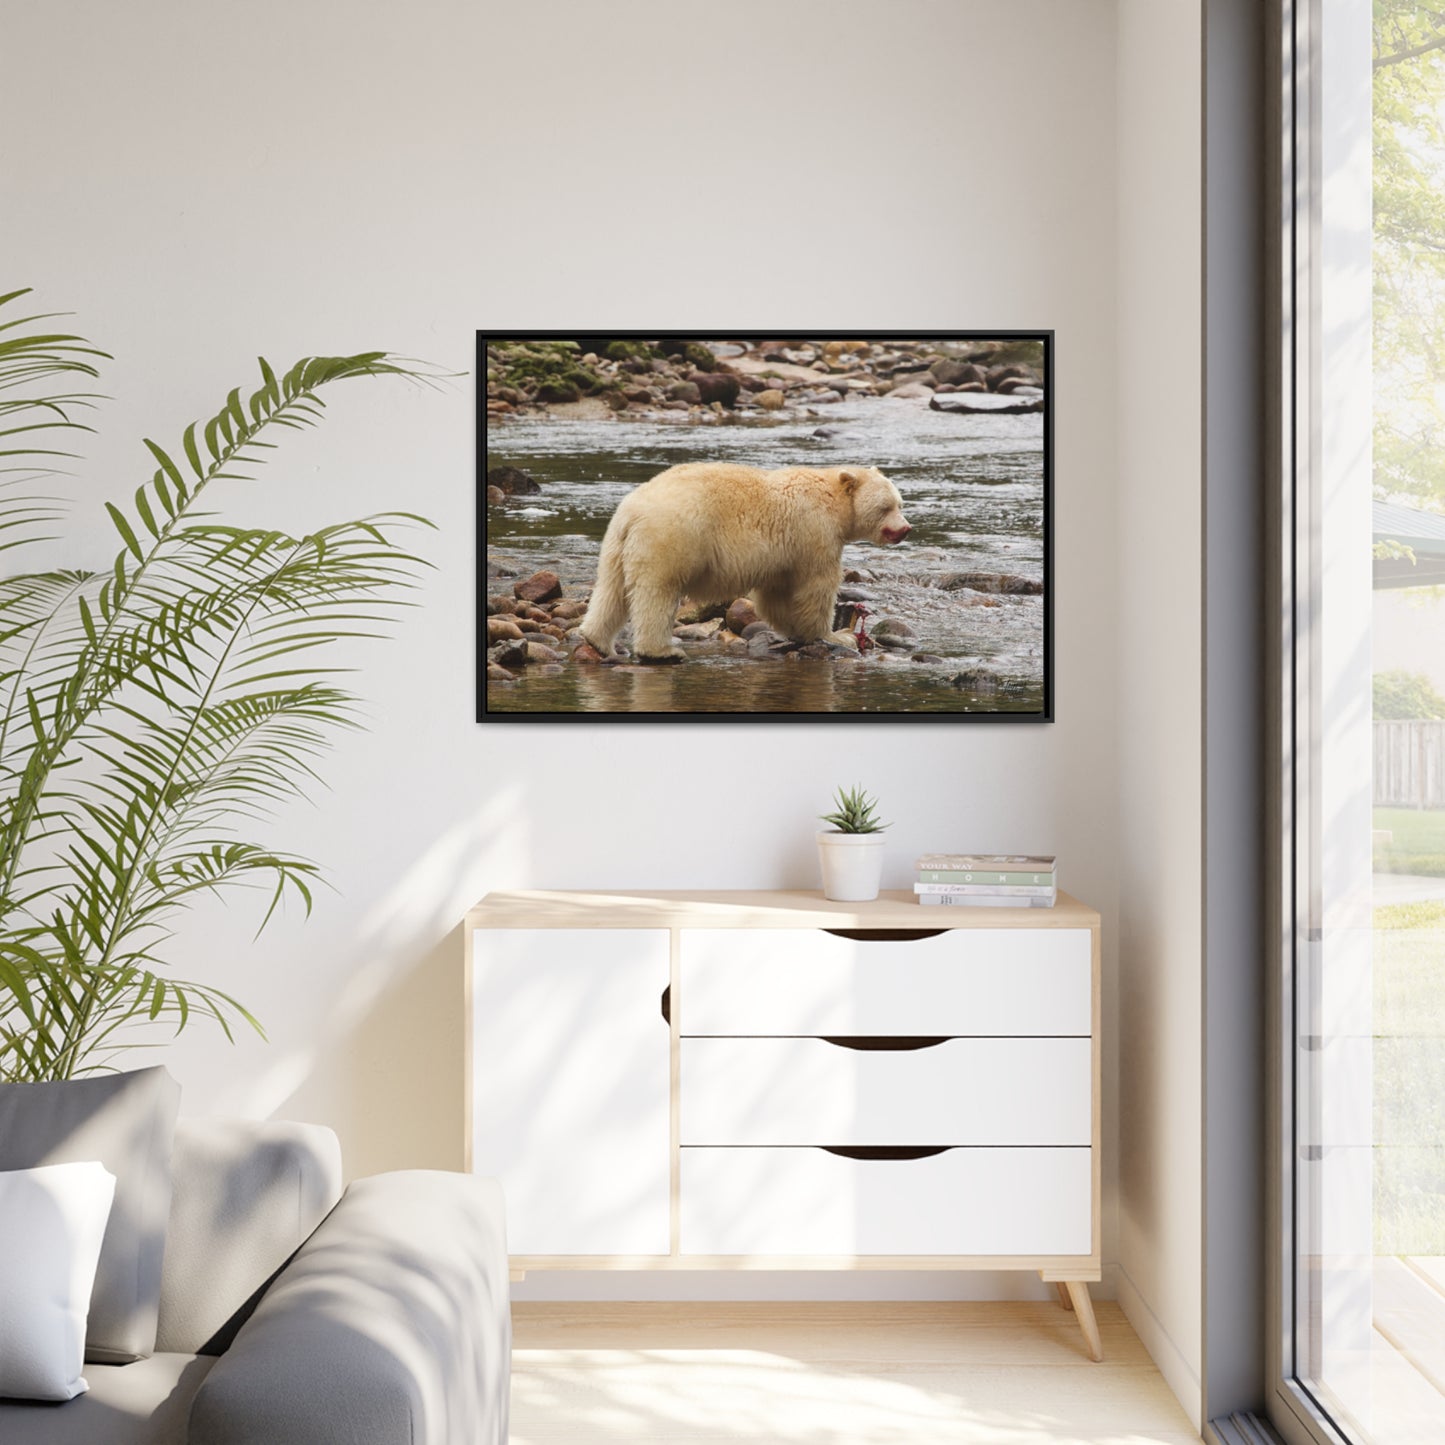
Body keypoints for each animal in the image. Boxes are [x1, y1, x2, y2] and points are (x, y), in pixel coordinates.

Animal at [579, 462, 911, 662]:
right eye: (886, 507)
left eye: (900, 503)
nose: (906, 528)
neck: (834, 501)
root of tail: (633, 510)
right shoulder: (814, 532)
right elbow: (815, 586)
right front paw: (836, 635)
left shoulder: (783, 553)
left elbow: (776, 594)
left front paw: (793, 630)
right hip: (672, 536)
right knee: (657, 592)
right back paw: (662, 651)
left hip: (618, 544)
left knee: (612, 589)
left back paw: (597, 640)